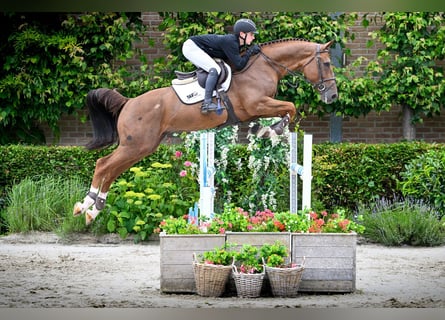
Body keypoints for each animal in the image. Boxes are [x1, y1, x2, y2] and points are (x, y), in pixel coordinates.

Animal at [73, 38, 336, 225]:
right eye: (326, 64)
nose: (332, 96)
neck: (264, 67)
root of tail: (128, 103)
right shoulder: (257, 104)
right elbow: (290, 106)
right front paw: (275, 129)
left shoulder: (256, 109)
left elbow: (283, 111)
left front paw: (265, 130)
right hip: (135, 145)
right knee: (104, 165)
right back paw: (84, 206)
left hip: (140, 147)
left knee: (112, 169)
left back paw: (94, 210)